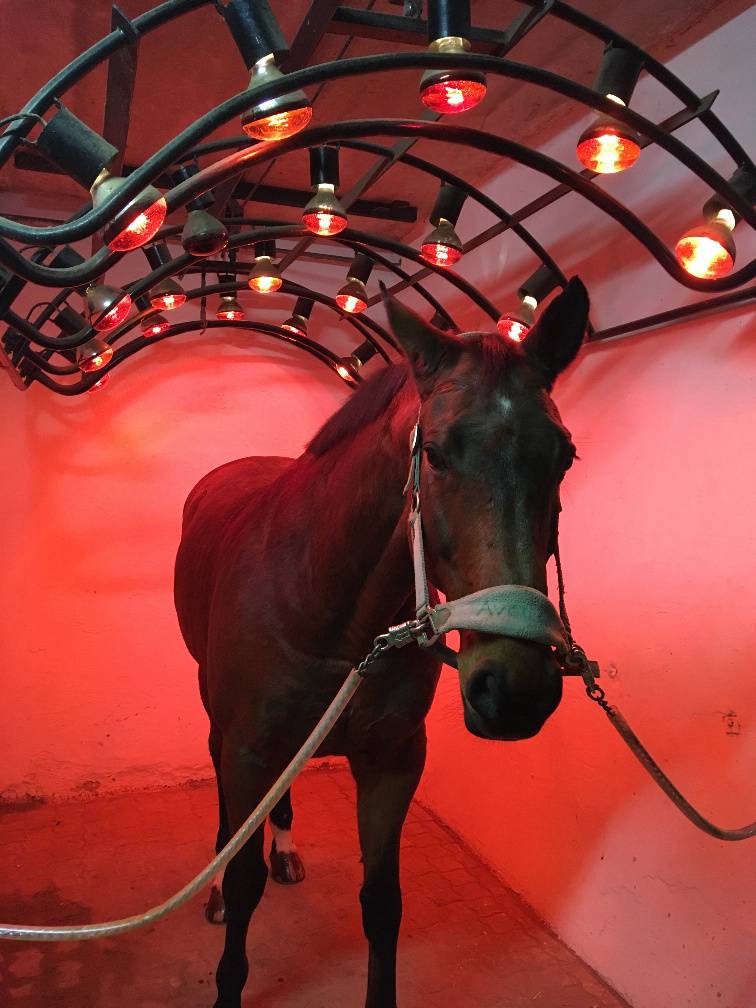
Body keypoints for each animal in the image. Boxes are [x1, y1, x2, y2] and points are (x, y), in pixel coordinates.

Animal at [173, 277, 589, 1008]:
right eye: (436, 453)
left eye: (562, 456)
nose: (514, 689)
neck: (327, 609)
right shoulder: (248, 750)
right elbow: (246, 881)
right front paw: (229, 931)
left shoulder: (392, 759)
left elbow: (383, 902)